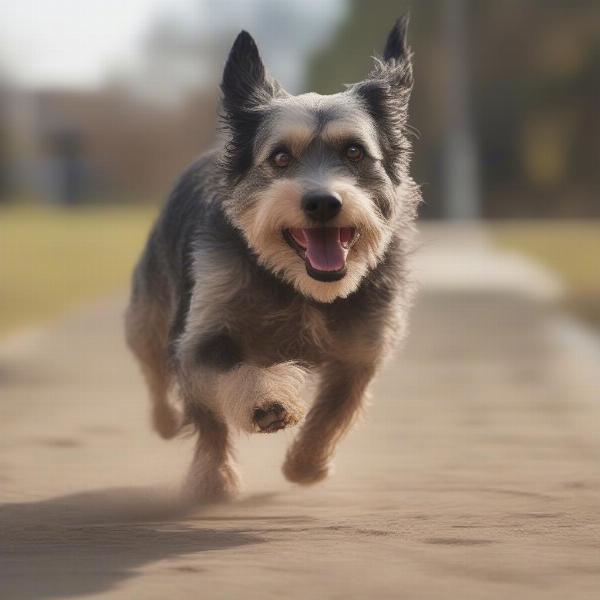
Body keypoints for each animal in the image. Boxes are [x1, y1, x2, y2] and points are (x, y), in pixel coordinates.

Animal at [125, 16, 420, 502]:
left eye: (354, 152)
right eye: (280, 157)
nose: (322, 202)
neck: (295, 284)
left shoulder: (363, 349)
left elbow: (334, 413)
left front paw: (307, 466)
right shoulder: (202, 332)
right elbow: (219, 390)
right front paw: (263, 408)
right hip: (148, 309)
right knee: (153, 367)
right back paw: (169, 426)